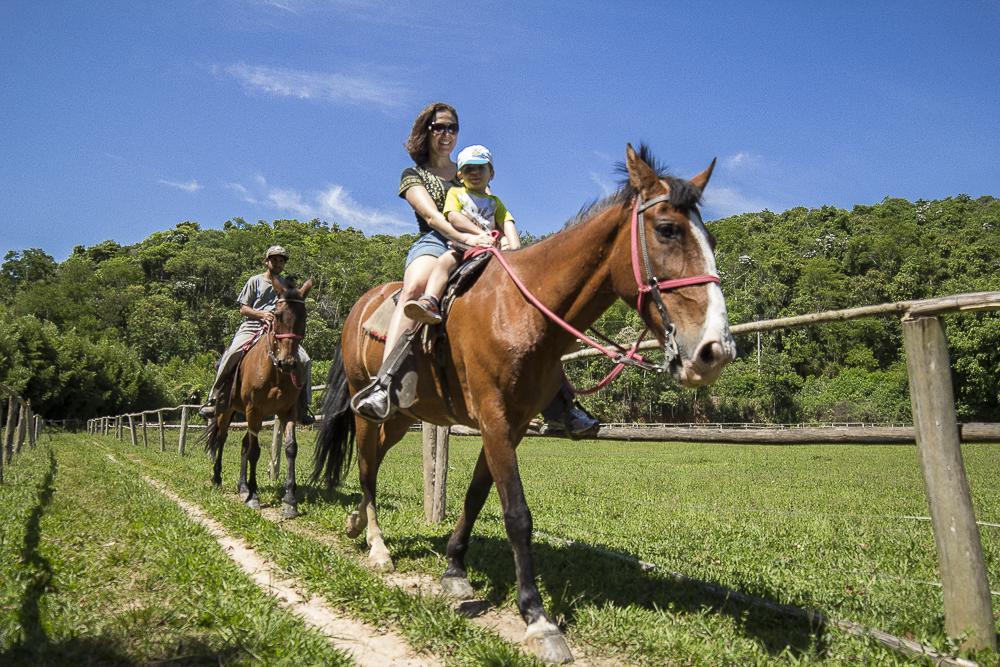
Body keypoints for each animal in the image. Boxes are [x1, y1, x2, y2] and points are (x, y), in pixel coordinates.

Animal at [204, 276, 310, 516]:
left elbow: (291, 449)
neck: (275, 370)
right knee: (222, 440)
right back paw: (218, 479)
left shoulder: (287, 411)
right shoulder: (254, 410)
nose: (288, 362)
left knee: (243, 443)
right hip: (226, 411)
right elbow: (254, 451)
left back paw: (242, 486)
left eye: (304, 316)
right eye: (278, 315)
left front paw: (290, 500)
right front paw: (253, 496)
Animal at [312, 146, 736, 664]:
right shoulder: (494, 419)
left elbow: (476, 495)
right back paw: (376, 545)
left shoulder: (509, 426)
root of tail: (360, 306)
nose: (715, 351)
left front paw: (454, 571)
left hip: (400, 418)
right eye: (668, 230)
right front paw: (537, 618)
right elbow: (516, 514)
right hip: (367, 412)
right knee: (367, 470)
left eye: (709, 237)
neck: (521, 310)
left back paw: (356, 525)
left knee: (371, 466)